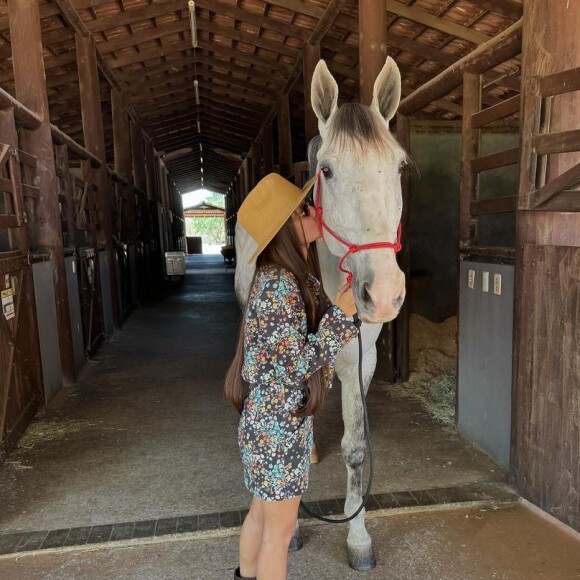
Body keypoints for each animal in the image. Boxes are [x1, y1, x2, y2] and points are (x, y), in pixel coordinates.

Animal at [233, 57, 406, 572]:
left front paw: (358, 536)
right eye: (326, 170)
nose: (383, 294)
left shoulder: (361, 363)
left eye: (399, 166)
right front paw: (289, 531)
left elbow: (355, 449)